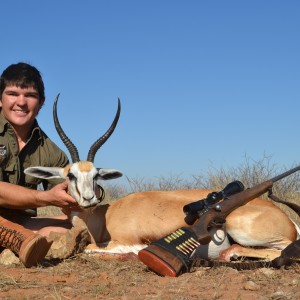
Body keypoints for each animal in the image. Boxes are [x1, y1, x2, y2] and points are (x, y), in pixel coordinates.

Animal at [24, 96, 298, 262]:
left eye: (96, 175)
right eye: (71, 175)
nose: (89, 199)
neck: (104, 216)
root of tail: (287, 219)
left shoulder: (125, 241)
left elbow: (91, 250)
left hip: (243, 230)